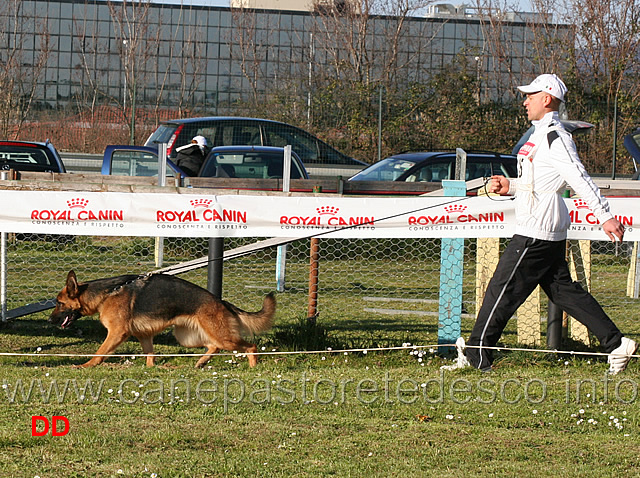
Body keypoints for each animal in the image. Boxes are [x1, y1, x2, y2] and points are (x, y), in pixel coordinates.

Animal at [49, 270, 276, 368]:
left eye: (59, 303)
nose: (50, 321)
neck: (106, 294)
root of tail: (222, 302)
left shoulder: (117, 333)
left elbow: (100, 351)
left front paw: (87, 365)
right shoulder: (144, 335)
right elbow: (149, 353)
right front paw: (151, 369)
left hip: (221, 336)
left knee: (250, 346)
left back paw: (253, 367)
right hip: (187, 337)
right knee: (214, 346)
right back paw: (201, 362)